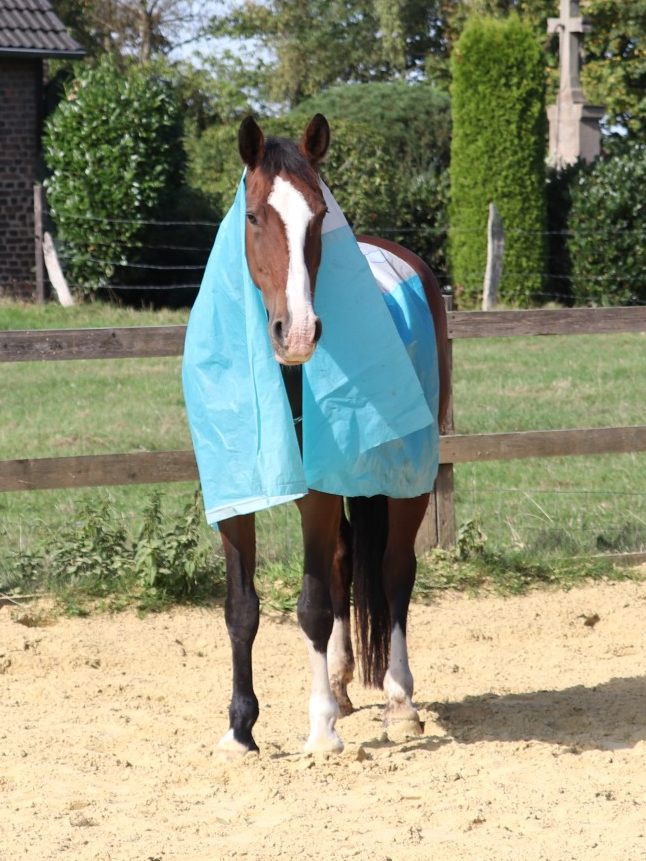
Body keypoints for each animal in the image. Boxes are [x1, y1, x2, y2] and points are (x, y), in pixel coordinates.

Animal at [213, 112, 450, 752]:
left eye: (320, 216)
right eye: (252, 216)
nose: (296, 331)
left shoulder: (316, 494)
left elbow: (313, 605)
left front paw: (320, 730)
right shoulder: (234, 495)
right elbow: (241, 608)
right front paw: (240, 730)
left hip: (410, 479)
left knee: (395, 573)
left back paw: (399, 702)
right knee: (349, 560)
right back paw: (343, 687)